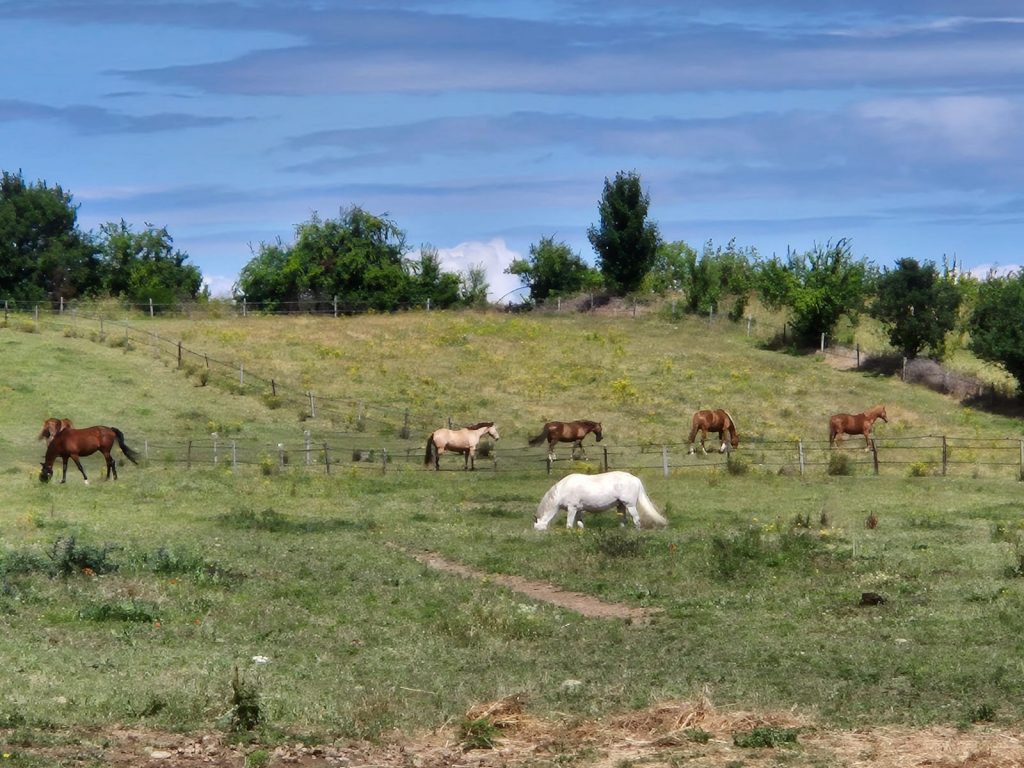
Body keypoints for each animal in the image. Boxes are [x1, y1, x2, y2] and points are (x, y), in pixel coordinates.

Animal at [533, 471, 667, 530]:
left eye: (536, 528)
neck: (562, 489)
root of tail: (636, 479)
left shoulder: (572, 508)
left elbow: (569, 524)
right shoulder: (578, 510)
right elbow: (580, 523)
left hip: (630, 505)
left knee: (636, 519)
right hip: (620, 505)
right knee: (623, 520)